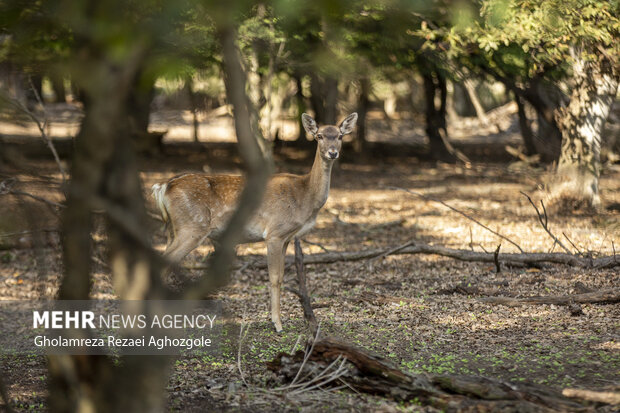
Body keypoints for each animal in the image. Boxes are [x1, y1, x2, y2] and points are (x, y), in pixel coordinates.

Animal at [151, 111, 360, 330]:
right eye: (319, 136)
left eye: (340, 136)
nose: (332, 153)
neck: (305, 197)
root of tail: (163, 186)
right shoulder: (275, 232)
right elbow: (275, 278)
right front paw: (277, 324)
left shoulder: (286, 238)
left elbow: (282, 276)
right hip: (192, 226)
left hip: (173, 228)